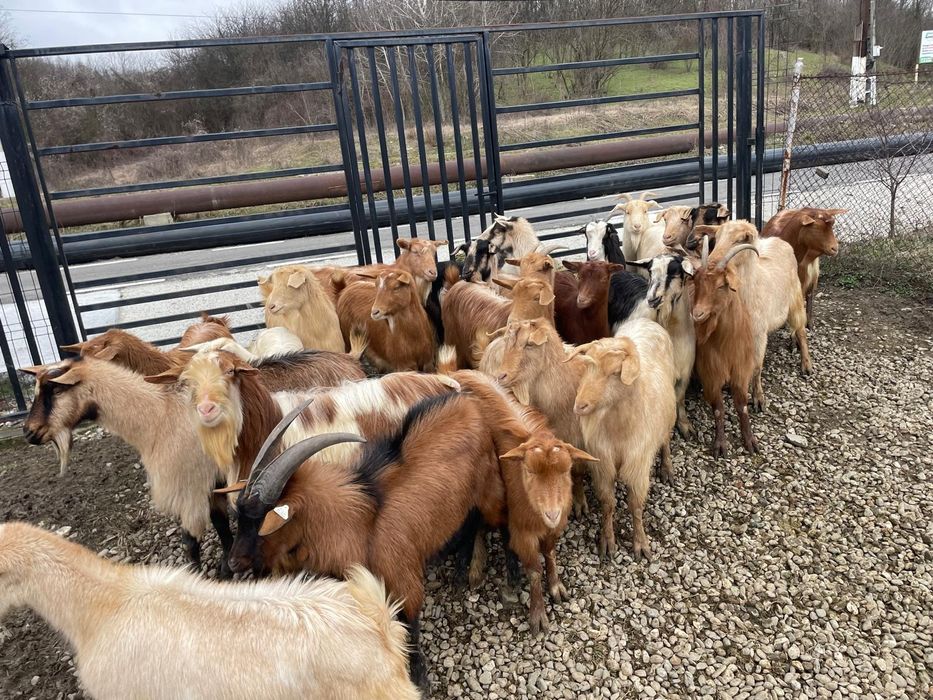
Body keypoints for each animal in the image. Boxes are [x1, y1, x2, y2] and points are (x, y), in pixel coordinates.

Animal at [20, 358, 231, 574]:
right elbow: (222, 525)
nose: (28, 432)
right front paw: (226, 566)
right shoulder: (211, 486)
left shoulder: (190, 490)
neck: (160, 417)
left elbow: (190, 543)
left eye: (56, 389)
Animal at [566, 318, 677, 561]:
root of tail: (647, 320)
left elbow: (635, 506)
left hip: (668, 414)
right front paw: (607, 541)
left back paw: (667, 467)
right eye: (588, 367)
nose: (580, 405)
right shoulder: (603, 463)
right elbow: (608, 504)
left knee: (665, 440)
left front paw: (640, 543)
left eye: (616, 372)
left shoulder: (638, 464)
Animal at [626, 253, 698, 438]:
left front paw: (685, 426)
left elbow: (679, 398)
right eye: (650, 271)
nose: (652, 299)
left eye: (674, 272)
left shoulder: (685, 371)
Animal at [690, 239, 761, 457]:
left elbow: (742, 406)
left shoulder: (741, 369)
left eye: (722, 286)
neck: (727, 344)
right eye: (696, 281)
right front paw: (720, 444)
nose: (697, 314)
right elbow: (719, 408)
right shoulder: (710, 371)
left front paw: (750, 441)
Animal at [702, 220, 812, 411]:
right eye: (718, 237)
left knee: (801, 330)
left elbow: (756, 367)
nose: (710, 265)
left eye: (740, 240)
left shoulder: (758, 335)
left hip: (796, 299)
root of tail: (779, 240)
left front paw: (758, 399)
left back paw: (806, 365)